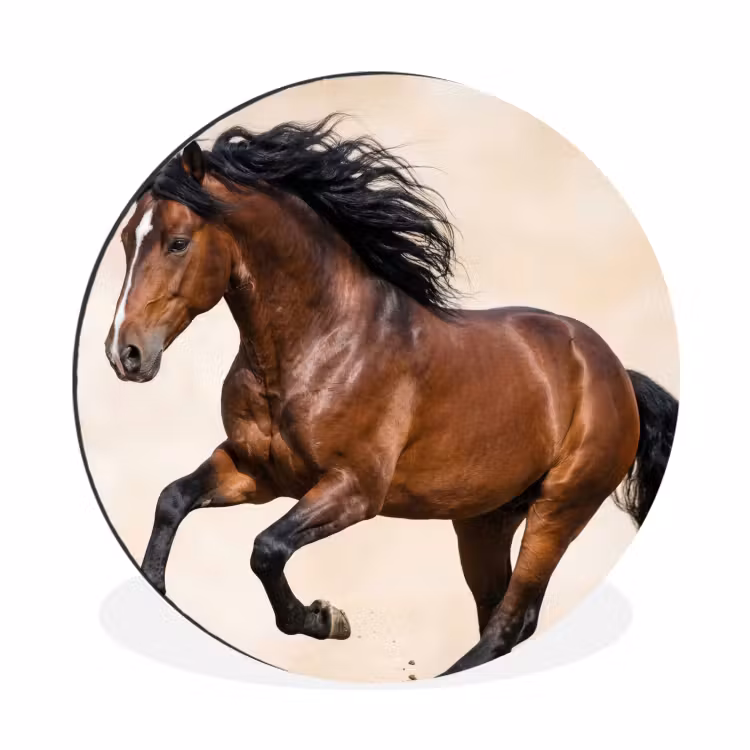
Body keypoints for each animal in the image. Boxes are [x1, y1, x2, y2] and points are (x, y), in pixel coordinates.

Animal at [104, 115, 678, 676]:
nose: (123, 353)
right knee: (500, 614)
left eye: (178, 242)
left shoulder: (354, 489)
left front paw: (326, 619)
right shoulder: (256, 471)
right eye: (129, 240)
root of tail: (617, 373)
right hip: (485, 519)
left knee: (512, 620)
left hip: (561, 507)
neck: (320, 343)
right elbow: (172, 500)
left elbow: (266, 549)